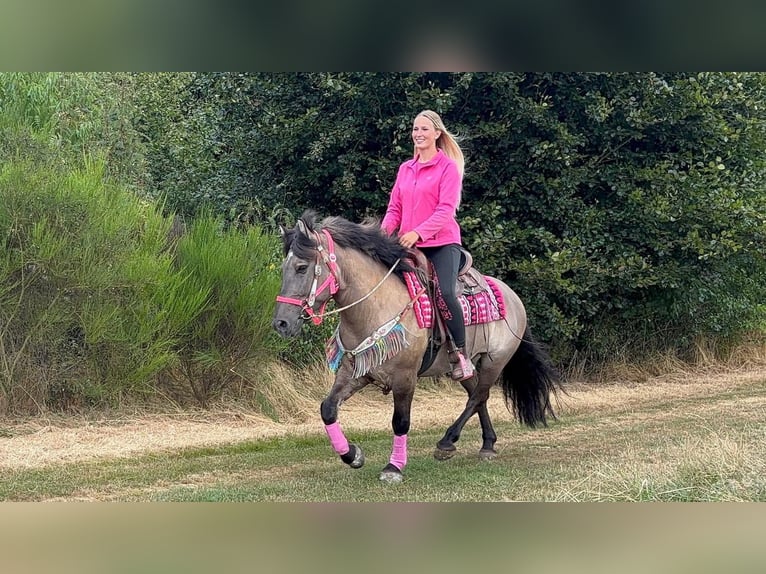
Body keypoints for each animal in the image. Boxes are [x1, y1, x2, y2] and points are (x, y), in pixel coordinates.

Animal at [272, 210, 562, 483]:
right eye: (284, 268)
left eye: (301, 267)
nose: (281, 323)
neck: (376, 306)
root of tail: (512, 296)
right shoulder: (355, 372)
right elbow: (328, 409)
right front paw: (352, 455)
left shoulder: (405, 377)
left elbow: (400, 422)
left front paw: (393, 468)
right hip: (465, 366)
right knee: (478, 396)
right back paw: (487, 444)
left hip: (495, 361)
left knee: (479, 396)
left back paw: (447, 442)